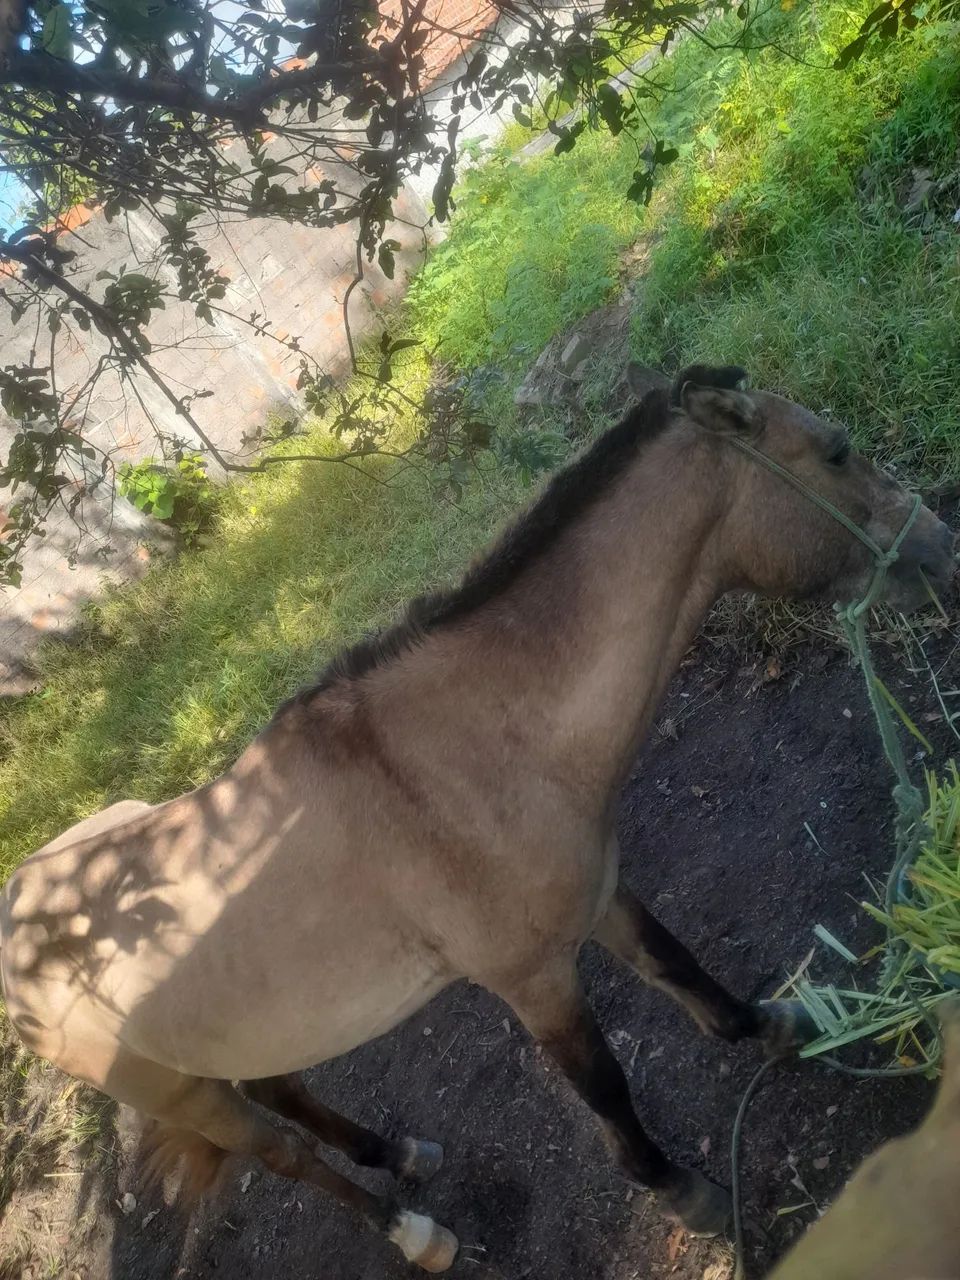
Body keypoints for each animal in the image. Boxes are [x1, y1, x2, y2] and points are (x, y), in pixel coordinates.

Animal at [1, 365, 954, 1272]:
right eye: (835, 451)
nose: (943, 545)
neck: (465, 754)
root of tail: (20, 912)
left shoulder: (602, 893)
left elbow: (677, 965)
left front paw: (770, 1029)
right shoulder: (533, 979)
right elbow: (604, 1086)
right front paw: (681, 1191)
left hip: (229, 1042)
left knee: (285, 1096)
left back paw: (399, 1154)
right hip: (184, 1093)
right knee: (281, 1153)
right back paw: (411, 1230)